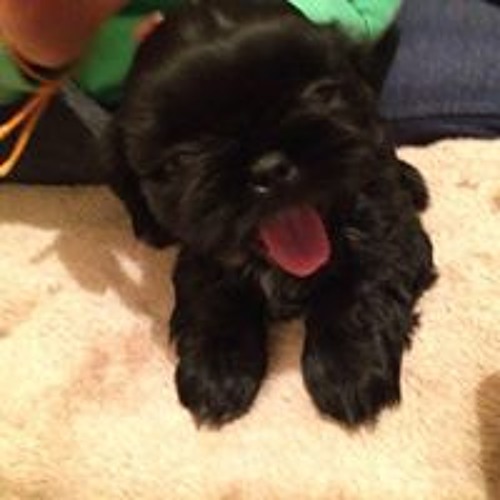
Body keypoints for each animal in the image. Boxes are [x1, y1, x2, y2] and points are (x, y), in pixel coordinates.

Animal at [105, 0, 436, 427]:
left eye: (321, 94)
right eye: (181, 159)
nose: (269, 168)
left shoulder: (387, 229)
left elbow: (361, 284)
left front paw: (349, 370)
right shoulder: (204, 251)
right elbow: (211, 296)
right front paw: (217, 370)